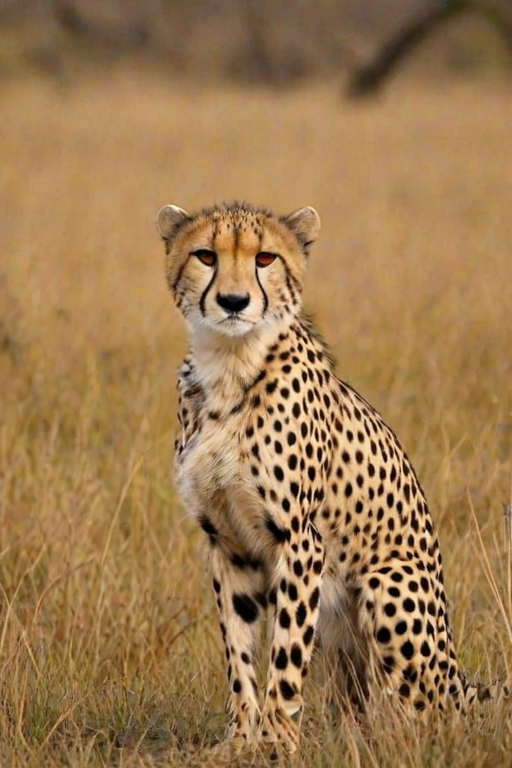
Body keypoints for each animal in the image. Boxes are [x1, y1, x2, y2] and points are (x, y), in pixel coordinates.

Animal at [155, 200, 505, 755]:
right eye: (206, 256)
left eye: (265, 258)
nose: (233, 301)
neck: (230, 364)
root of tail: (456, 675)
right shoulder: (226, 543)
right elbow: (240, 653)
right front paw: (239, 740)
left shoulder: (300, 541)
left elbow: (285, 657)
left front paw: (276, 743)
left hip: (390, 583)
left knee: (421, 713)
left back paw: (400, 742)